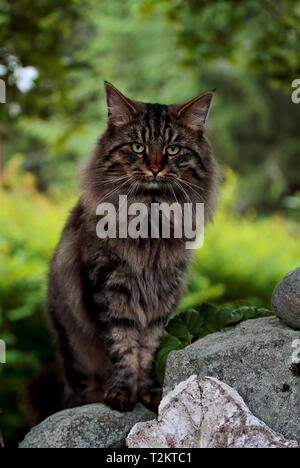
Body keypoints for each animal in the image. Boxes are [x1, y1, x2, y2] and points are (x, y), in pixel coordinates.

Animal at [27, 81, 220, 424]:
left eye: (173, 149)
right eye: (137, 147)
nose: (155, 168)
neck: (150, 218)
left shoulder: (163, 294)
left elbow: (148, 349)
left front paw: (150, 392)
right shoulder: (110, 287)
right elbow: (123, 345)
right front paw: (121, 394)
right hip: (71, 342)